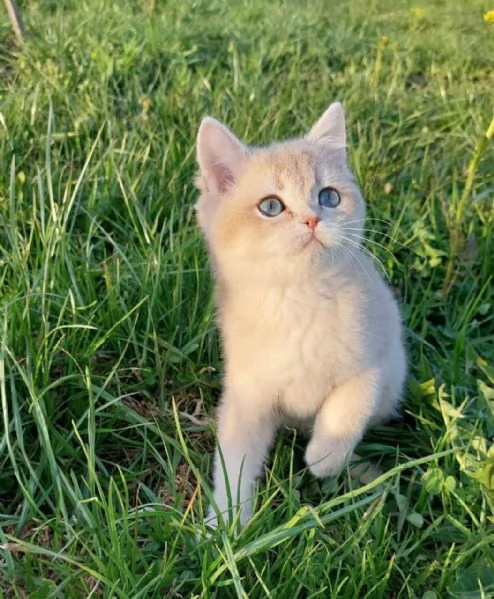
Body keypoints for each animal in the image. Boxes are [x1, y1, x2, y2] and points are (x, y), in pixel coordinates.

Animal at [195, 102, 408, 528]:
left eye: (328, 196)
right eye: (271, 206)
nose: (313, 219)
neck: (299, 303)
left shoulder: (380, 358)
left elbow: (350, 403)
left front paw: (325, 457)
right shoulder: (247, 395)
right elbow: (233, 464)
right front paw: (225, 525)